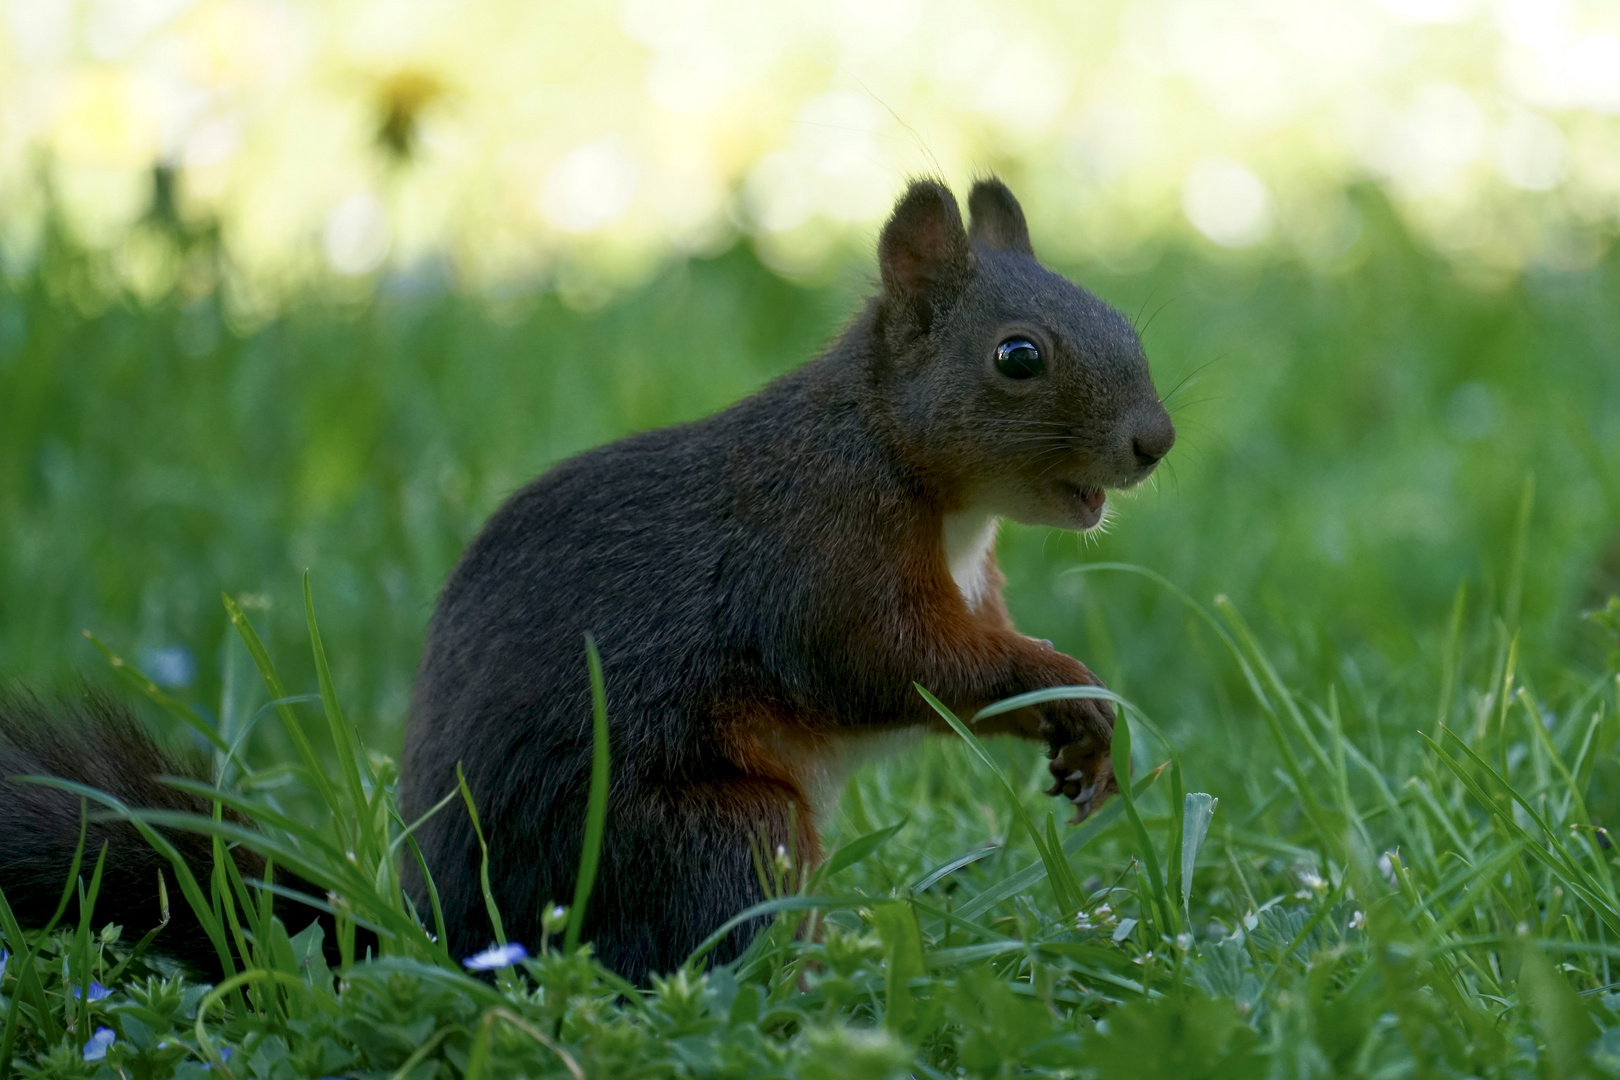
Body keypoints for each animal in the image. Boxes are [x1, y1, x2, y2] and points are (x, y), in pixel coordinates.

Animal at [0, 177, 1172, 990]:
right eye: (1018, 357)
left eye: (1124, 317)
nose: (1153, 442)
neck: (903, 459)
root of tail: (458, 942)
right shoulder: (821, 553)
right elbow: (892, 665)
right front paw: (1073, 689)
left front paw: (1080, 737)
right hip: (719, 836)